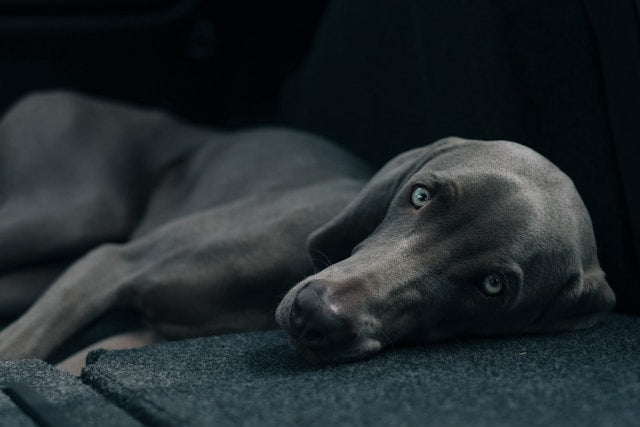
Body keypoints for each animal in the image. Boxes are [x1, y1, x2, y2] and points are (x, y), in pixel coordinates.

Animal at [0, 91, 616, 368]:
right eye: (420, 195)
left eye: (493, 287)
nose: (313, 314)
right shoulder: (110, 264)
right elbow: (17, 349)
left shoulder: (143, 336)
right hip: (68, 210)